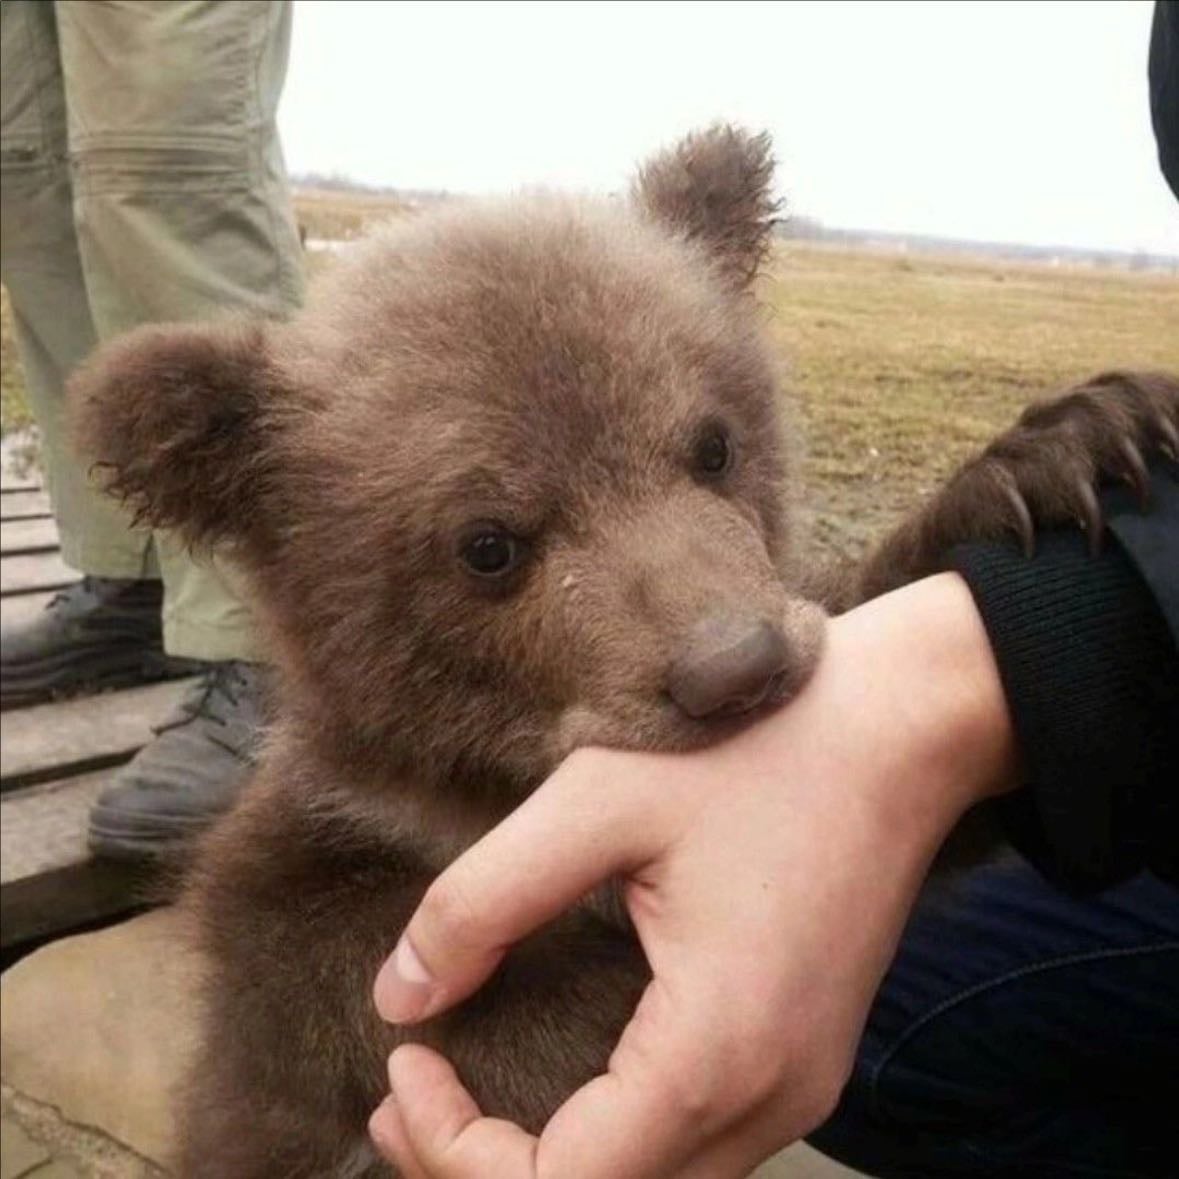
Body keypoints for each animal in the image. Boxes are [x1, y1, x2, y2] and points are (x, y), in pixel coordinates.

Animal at [69, 125, 1178, 1177]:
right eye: (487, 544)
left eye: (714, 443)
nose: (733, 666)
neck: (508, 776)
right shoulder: (317, 860)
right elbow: (346, 968)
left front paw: (1067, 449)